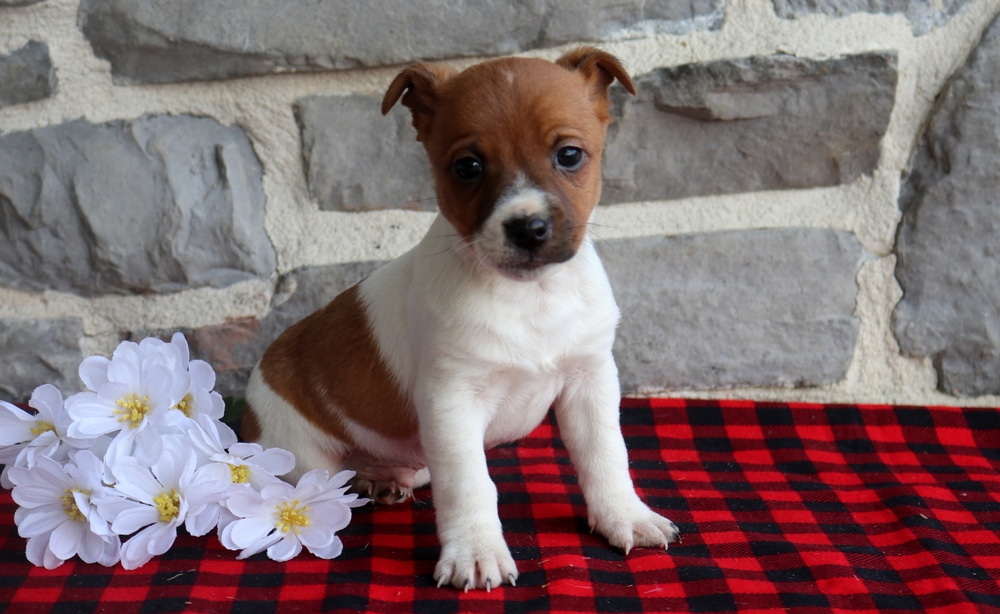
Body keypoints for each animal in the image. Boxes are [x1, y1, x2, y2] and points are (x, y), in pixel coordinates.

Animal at [242, 47, 679, 591]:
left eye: (569, 155)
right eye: (467, 166)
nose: (528, 227)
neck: (530, 296)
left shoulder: (590, 381)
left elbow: (606, 456)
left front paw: (625, 515)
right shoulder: (453, 403)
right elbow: (471, 484)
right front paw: (475, 550)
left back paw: (383, 478)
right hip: (299, 455)